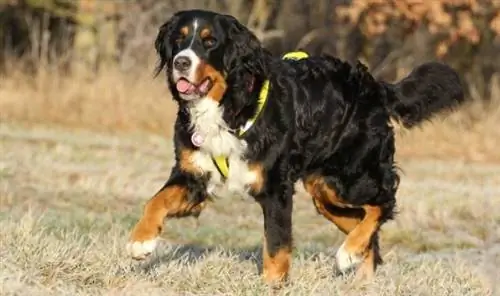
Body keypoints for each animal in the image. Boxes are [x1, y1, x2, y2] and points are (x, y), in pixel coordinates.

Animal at [125, 8, 464, 284]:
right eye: (179, 40)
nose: (181, 62)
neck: (230, 106)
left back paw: (348, 252)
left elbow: (276, 246)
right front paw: (141, 241)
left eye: (209, 42)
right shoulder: (194, 176)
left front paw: (272, 286)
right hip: (325, 192)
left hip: (352, 178)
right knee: (366, 226)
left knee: (383, 203)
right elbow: (155, 201)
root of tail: (372, 85)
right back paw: (360, 276)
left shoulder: (275, 188)